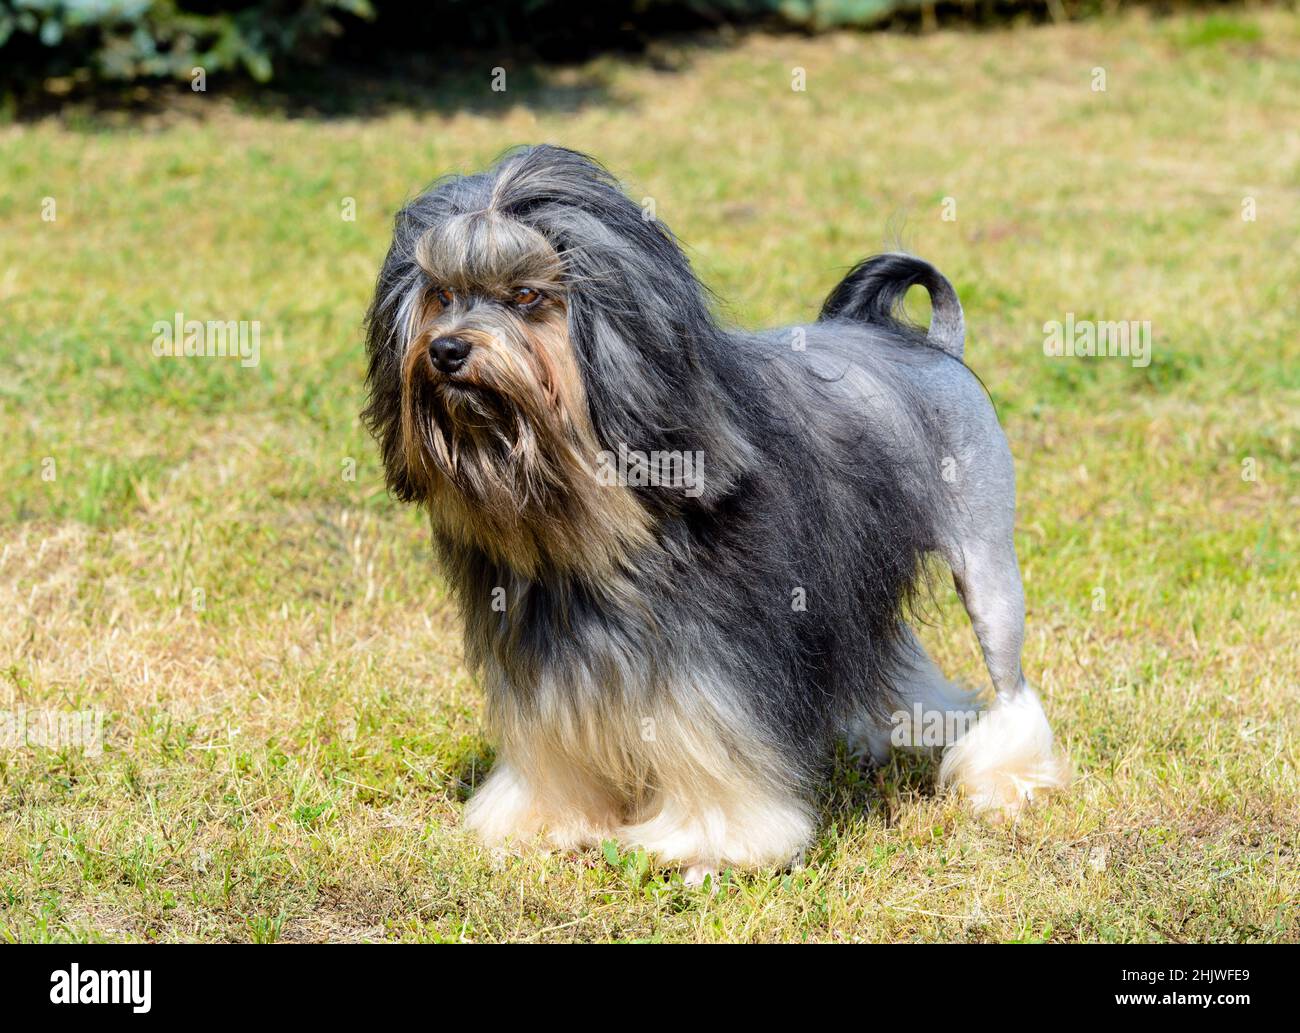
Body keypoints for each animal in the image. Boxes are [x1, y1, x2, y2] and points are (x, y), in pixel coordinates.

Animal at [364, 145, 1066, 883]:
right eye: (442, 294)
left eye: (528, 297)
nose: (446, 350)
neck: (593, 512)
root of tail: (937, 348)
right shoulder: (541, 635)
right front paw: (546, 821)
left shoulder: (717, 648)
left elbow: (710, 738)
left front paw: (715, 844)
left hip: (986, 563)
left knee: (1010, 681)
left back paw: (1006, 778)